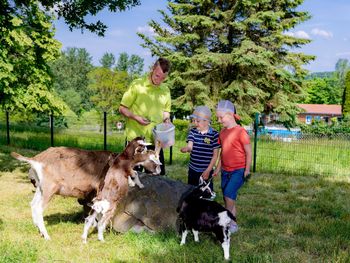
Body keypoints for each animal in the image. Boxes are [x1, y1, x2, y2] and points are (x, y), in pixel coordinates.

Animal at [10, 137, 159, 240]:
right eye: (153, 157)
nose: (158, 170)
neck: (118, 161)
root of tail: (35, 159)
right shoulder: (100, 190)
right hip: (49, 188)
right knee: (38, 208)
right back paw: (46, 236)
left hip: (40, 188)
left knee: (33, 204)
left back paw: (39, 231)